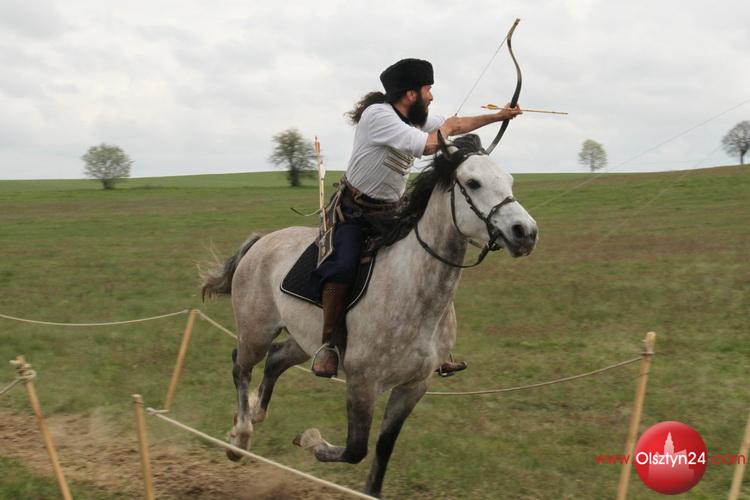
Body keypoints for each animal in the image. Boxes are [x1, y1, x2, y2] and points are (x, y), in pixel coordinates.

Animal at [201, 133, 538, 497]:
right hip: (256, 332)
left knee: (275, 360)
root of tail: (262, 241)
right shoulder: (362, 383)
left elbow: (382, 449)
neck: (413, 290)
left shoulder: (412, 387)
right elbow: (355, 449)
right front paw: (310, 439)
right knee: (240, 365)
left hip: (305, 342)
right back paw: (240, 437)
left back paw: (254, 415)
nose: (525, 232)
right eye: (473, 183)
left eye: (509, 181)